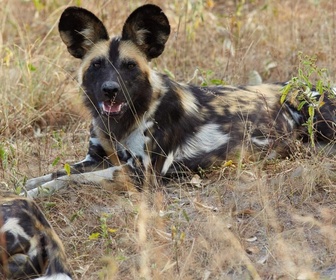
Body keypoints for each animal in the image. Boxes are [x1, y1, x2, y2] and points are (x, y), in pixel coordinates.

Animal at [24, 3, 336, 197]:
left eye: (129, 66)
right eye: (97, 65)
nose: (110, 90)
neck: (121, 123)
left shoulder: (142, 173)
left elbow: (69, 178)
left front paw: (38, 193)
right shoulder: (96, 158)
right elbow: (57, 171)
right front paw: (31, 184)